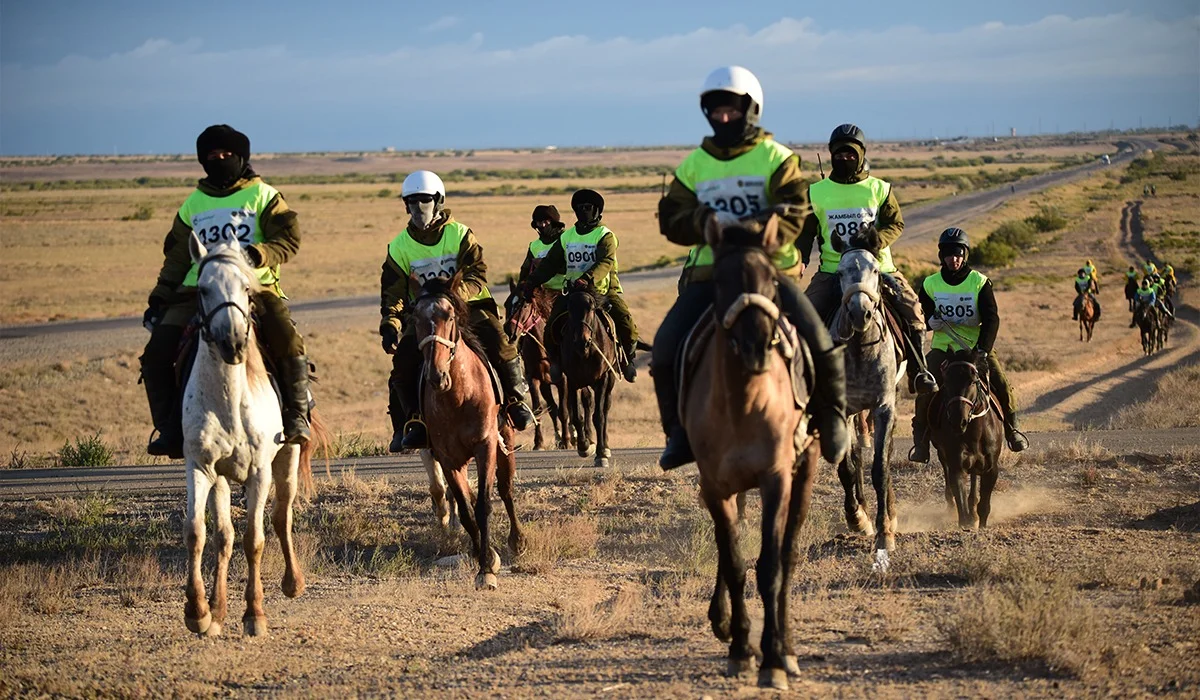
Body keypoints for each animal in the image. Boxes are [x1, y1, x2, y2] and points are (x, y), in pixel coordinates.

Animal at [180, 232, 314, 638]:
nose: (233, 343)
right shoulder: (200, 467)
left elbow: (255, 539)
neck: (228, 401)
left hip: (286, 461)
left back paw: (293, 583)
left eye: (246, 287)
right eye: (203, 289)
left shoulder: (259, 472)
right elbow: (197, 532)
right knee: (223, 536)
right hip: (222, 479)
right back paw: (218, 610)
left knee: (281, 517)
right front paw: (199, 611)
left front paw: (255, 614)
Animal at [681, 210, 820, 691]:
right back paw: (722, 621)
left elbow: (771, 566)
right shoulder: (715, 485)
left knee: (789, 554)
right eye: (720, 281)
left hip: (805, 472)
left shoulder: (776, 479)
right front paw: (741, 648)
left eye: (772, 281)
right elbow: (736, 561)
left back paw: (789, 647)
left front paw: (773, 659)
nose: (759, 344)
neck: (743, 401)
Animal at [926, 353, 1003, 528]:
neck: (975, 434)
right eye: (946, 381)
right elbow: (960, 499)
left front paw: (979, 521)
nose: (957, 421)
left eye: (973, 381)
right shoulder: (957, 466)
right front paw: (967, 521)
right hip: (942, 452)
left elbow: (984, 505)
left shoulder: (991, 469)